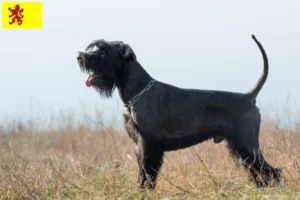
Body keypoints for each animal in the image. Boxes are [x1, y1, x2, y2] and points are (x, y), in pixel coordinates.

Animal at [77, 35, 282, 190]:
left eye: (103, 50)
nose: (80, 56)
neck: (138, 89)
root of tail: (249, 97)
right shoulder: (139, 146)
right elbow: (142, 174)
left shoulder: (150, 145)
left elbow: (148, 175)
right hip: (240, 147)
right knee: (258, 172)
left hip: (247, 145)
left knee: (272, 172)